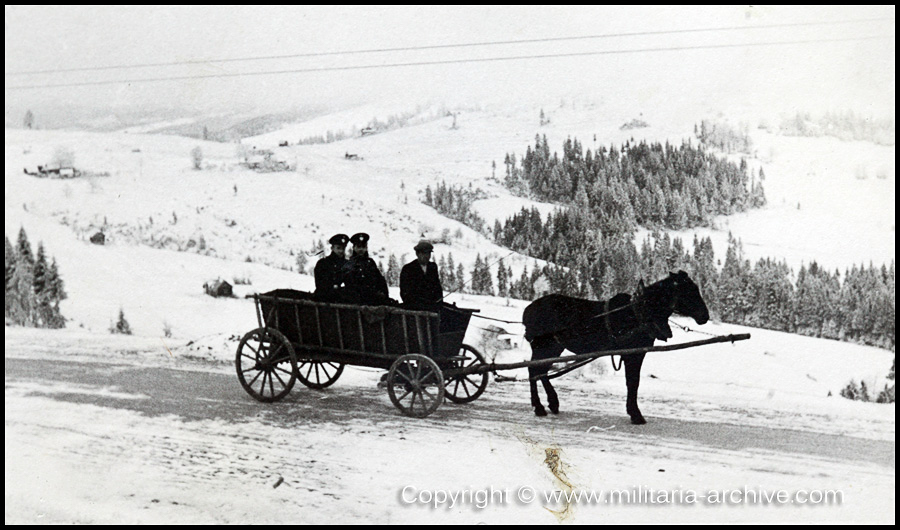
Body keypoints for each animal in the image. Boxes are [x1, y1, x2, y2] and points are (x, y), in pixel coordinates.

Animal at [520, 270, 712, 422]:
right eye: (690, 291)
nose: (705, 316)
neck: (639, 313)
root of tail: (529, 309)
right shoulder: (633, 354)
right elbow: (633, 382)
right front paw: (636, 414)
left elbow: (632, 382)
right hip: (545, 346)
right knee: (534, 371)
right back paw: (539, 407)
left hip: (554, 347)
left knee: (540, 372)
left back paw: (552, 403)